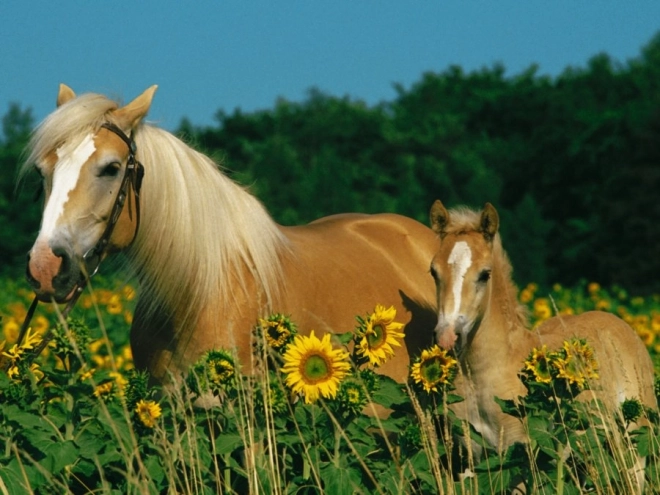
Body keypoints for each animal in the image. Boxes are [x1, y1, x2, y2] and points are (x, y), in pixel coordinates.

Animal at [428, 202, 656, 492]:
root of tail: (623, 326)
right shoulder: (470, 459)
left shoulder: (519, 458)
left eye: (485, 274)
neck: (484, 374)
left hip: (634, 442)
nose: (448, 335)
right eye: (433, 271)